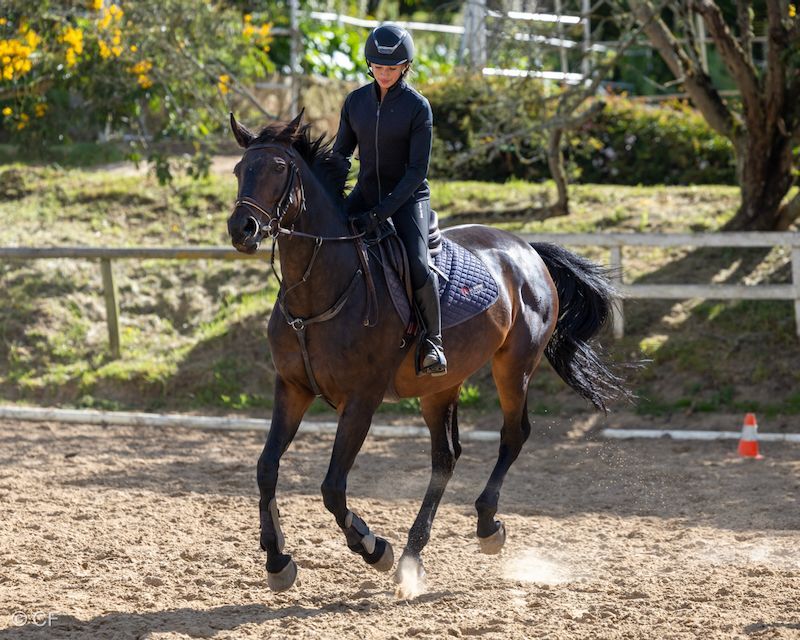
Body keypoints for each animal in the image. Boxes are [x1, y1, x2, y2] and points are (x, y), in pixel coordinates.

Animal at [226, 111, 631, 597]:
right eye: (239, 170)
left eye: (278, 168)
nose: (242, 229)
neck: (320, 293)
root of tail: (527, 249)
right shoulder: (291, 388)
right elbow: (266, 468)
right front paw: (277, 559)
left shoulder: (361, 400)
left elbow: (332, 487)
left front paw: (372, 547)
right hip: (439, 387)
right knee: (446, 458)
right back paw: (412, 557)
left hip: (513, 368)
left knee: (513, 435)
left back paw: (484, 528)